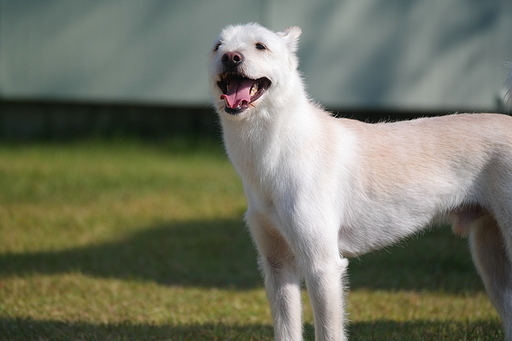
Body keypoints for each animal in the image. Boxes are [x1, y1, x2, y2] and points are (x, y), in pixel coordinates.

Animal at [208, 22, 512, 338]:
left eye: (260, 46)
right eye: (217, 47)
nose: (231, 57)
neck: (277, 147)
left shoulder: (323, 267)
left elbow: (329, 331)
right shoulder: (277, 266)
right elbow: (287, 330)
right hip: (491, 258)